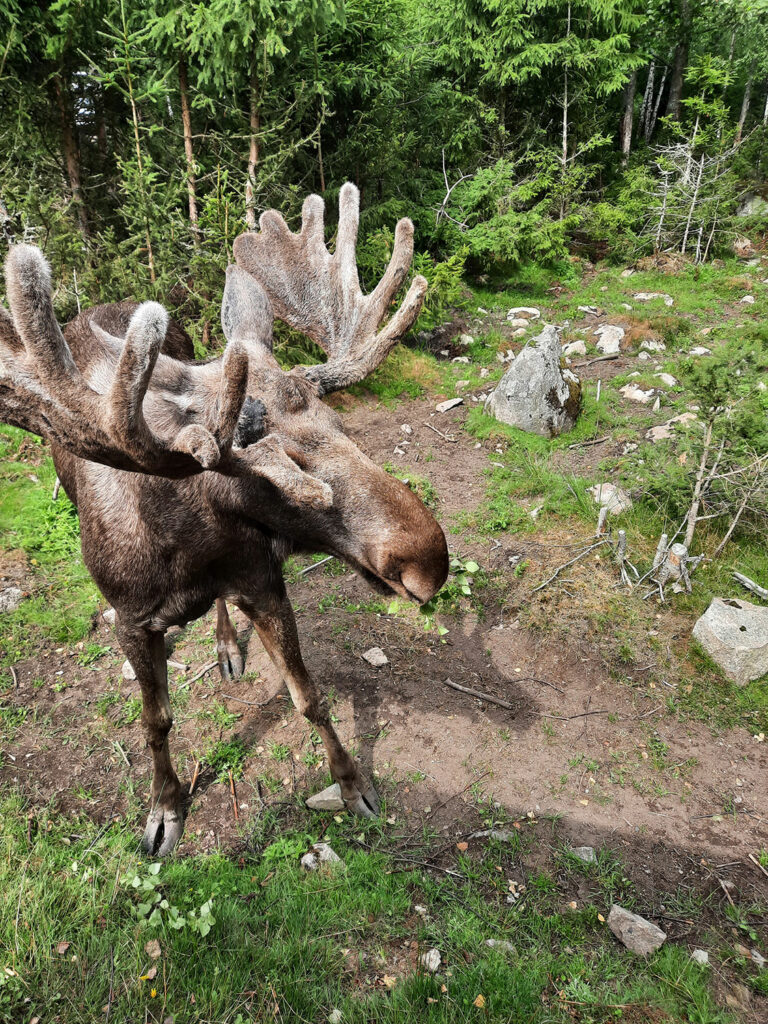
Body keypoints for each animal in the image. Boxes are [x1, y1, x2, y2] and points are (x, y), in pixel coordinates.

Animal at [1, 186, 450, 856]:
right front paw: (165, 809)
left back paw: (223, 643)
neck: (186, 549)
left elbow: (309, 697)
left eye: (343, 426)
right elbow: (155, 721)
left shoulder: (262, 581)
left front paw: (353, 785)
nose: (429, 557)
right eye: (269, 470)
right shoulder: (131, 619)